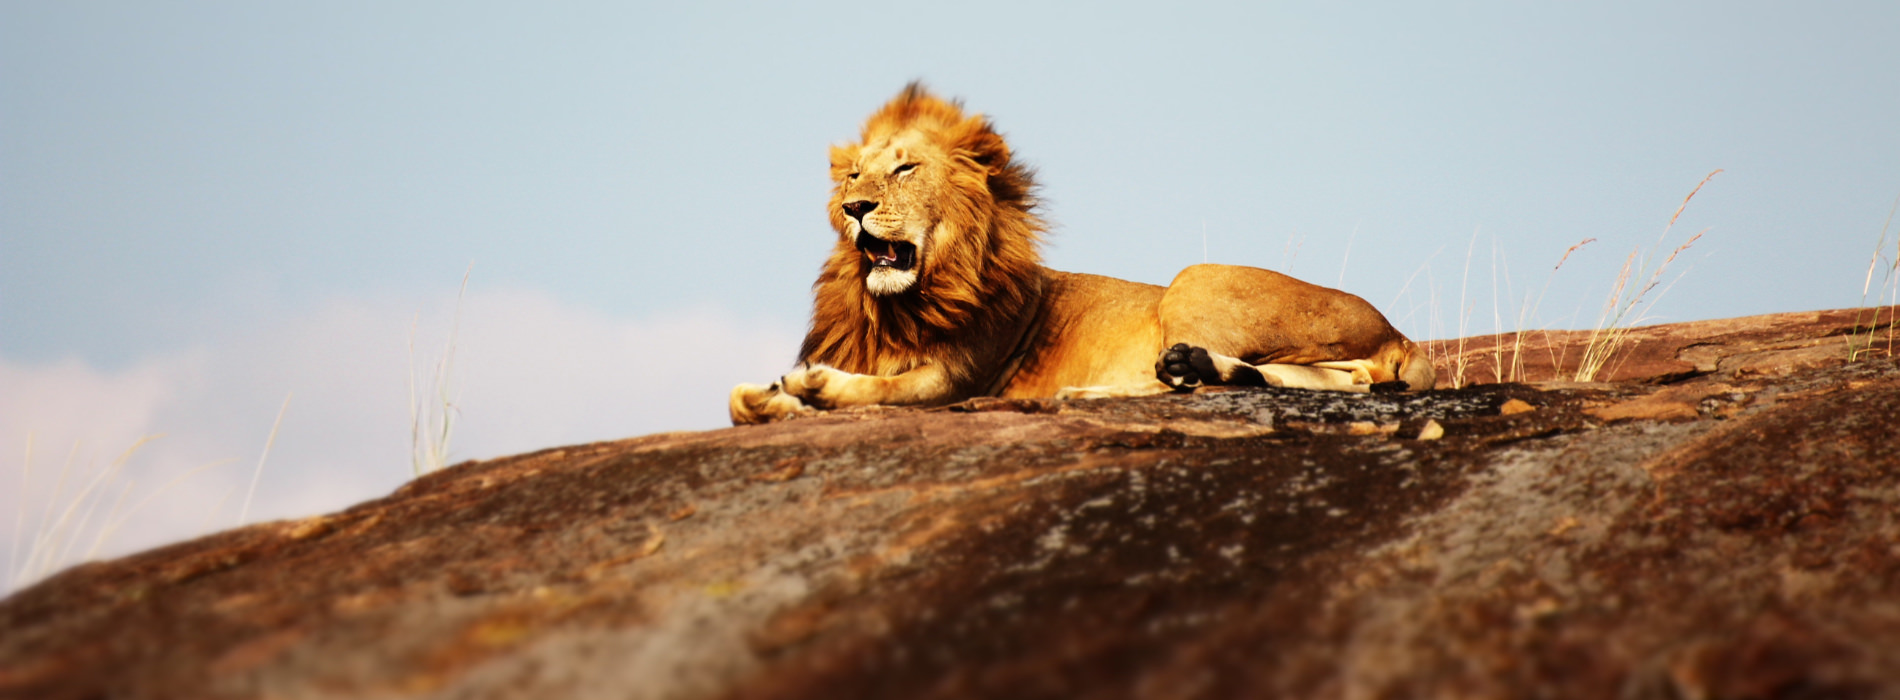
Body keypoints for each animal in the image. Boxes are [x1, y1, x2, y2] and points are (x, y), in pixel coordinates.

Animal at [729, 83, 1434, 425]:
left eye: (904, 169)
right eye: (853, 176)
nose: (855, 208)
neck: (895, 307)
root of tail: (1401, 334)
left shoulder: (955, 379)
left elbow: (879, 389)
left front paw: (814, 385)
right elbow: (739, 400)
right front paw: (772, 397)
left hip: (1193, 279)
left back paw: (1117, 385)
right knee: (1334, 379)